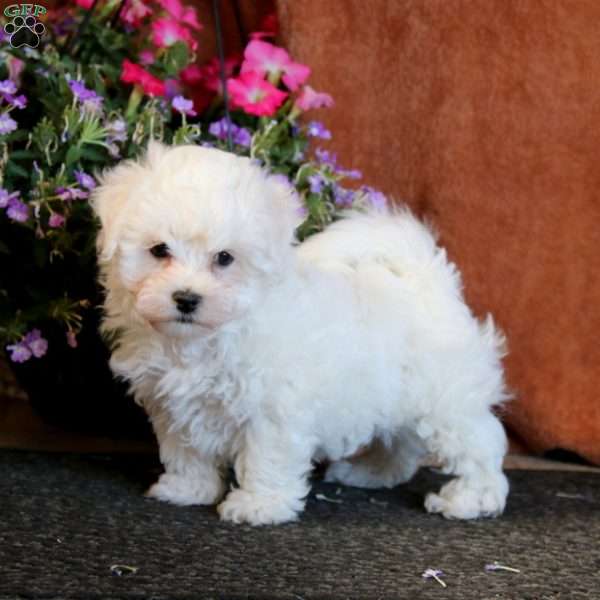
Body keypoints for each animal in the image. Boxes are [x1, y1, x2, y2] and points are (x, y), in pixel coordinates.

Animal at [94, 141, 510, 524]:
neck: (207, 338)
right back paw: (369, 473)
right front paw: (188, 488)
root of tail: (426, 278)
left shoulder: (273, 408)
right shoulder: (173, 405)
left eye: (225, 258)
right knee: (402, 446)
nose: (186, 298)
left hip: (446, 399)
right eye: (159, 250)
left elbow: (266, 455)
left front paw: (258, 505)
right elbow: (186, 449)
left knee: (478, 444)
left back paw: (470, 499)